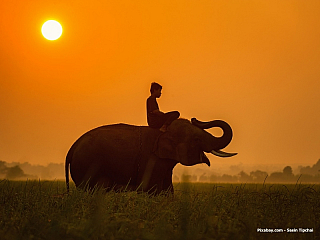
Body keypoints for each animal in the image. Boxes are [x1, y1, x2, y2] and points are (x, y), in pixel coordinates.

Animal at [65, 118, 236, 195]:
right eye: (197, 139)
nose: (195, 119)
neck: (164, 131)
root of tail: (72, 147)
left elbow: (168, 190)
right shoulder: (152, 160)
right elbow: (153, 190)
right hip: (88, 165)